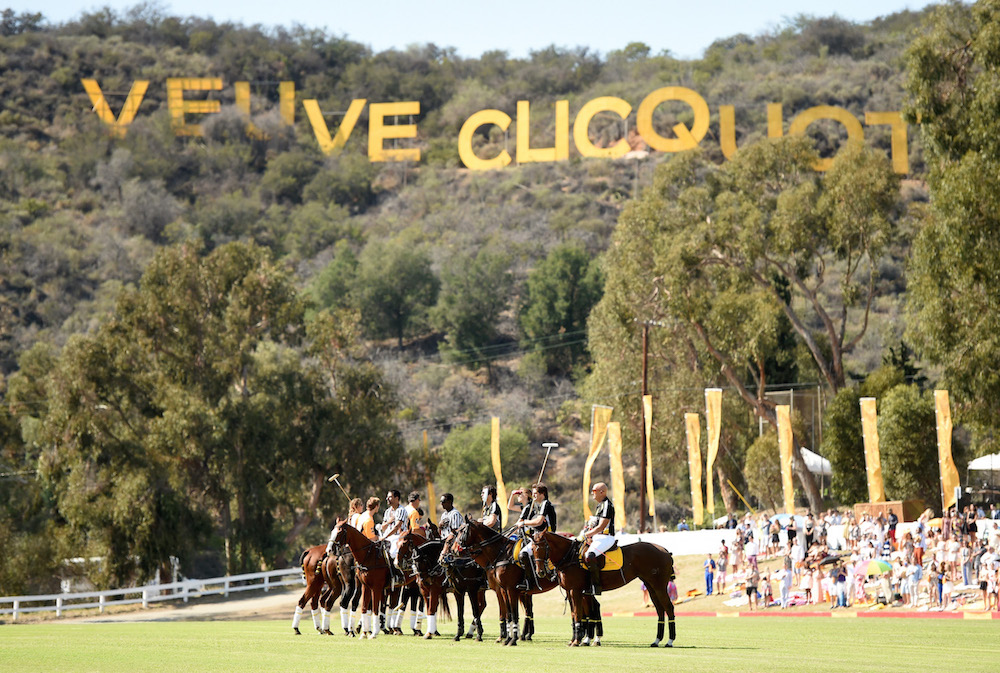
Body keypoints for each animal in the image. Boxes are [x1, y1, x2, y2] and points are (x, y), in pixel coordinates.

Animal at [452, 516, 560, 644]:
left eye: (462, 531)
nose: (454, 550)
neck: (500, 554)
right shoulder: (502, 590)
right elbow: (508, 614)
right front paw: (507, 638)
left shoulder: (509, 589)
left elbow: (512, 613)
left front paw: (510, 639)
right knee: (528, 611)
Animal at [532, 532, 680, 644]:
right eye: (532, 549)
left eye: (544, 547)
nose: (540, 572)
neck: (570, 557)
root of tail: (666, 551)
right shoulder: (571, 591)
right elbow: (575, 614)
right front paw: (576, 640)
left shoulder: (576, 590)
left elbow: (578, 613)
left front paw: (577, 641)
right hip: (650, 586)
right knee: (660, 609)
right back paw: (657, 641)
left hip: (659, 586)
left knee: (668, 607)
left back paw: (670, 641)